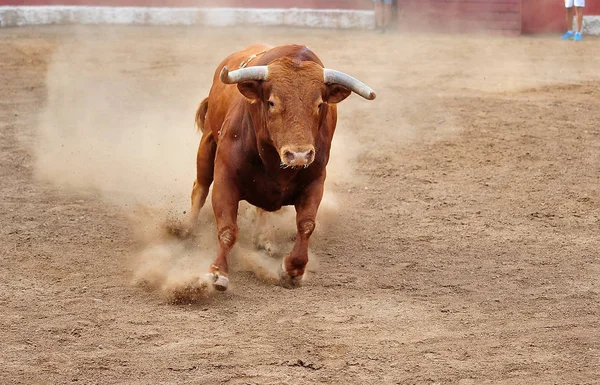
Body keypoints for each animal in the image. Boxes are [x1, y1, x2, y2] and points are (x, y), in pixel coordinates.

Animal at [188, 43, 376, 290]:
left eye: (319, 104)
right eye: (272, 102)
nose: (299, 155)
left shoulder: (315, 182)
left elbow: (306, 224)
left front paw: (293, 269)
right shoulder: (225, 178)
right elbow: (228, 228)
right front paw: (218, 273)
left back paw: (264, 239)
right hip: (207, 143)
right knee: (199, 188)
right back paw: (185, 230)